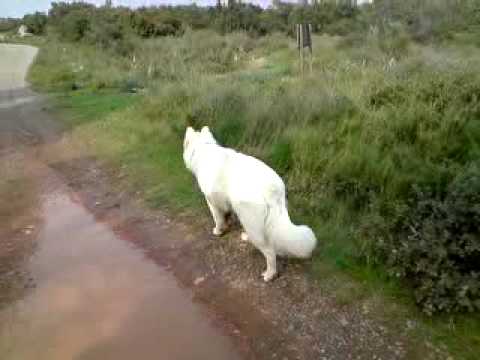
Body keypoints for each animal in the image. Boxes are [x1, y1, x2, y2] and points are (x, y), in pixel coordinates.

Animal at [182, 126, 316, 282]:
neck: (204, 148)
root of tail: (272, 188)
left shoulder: (212, 202)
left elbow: (218, 219)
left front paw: (218, 231)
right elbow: (226, 216)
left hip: (250, 221)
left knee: (270, 252)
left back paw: (269, 274)